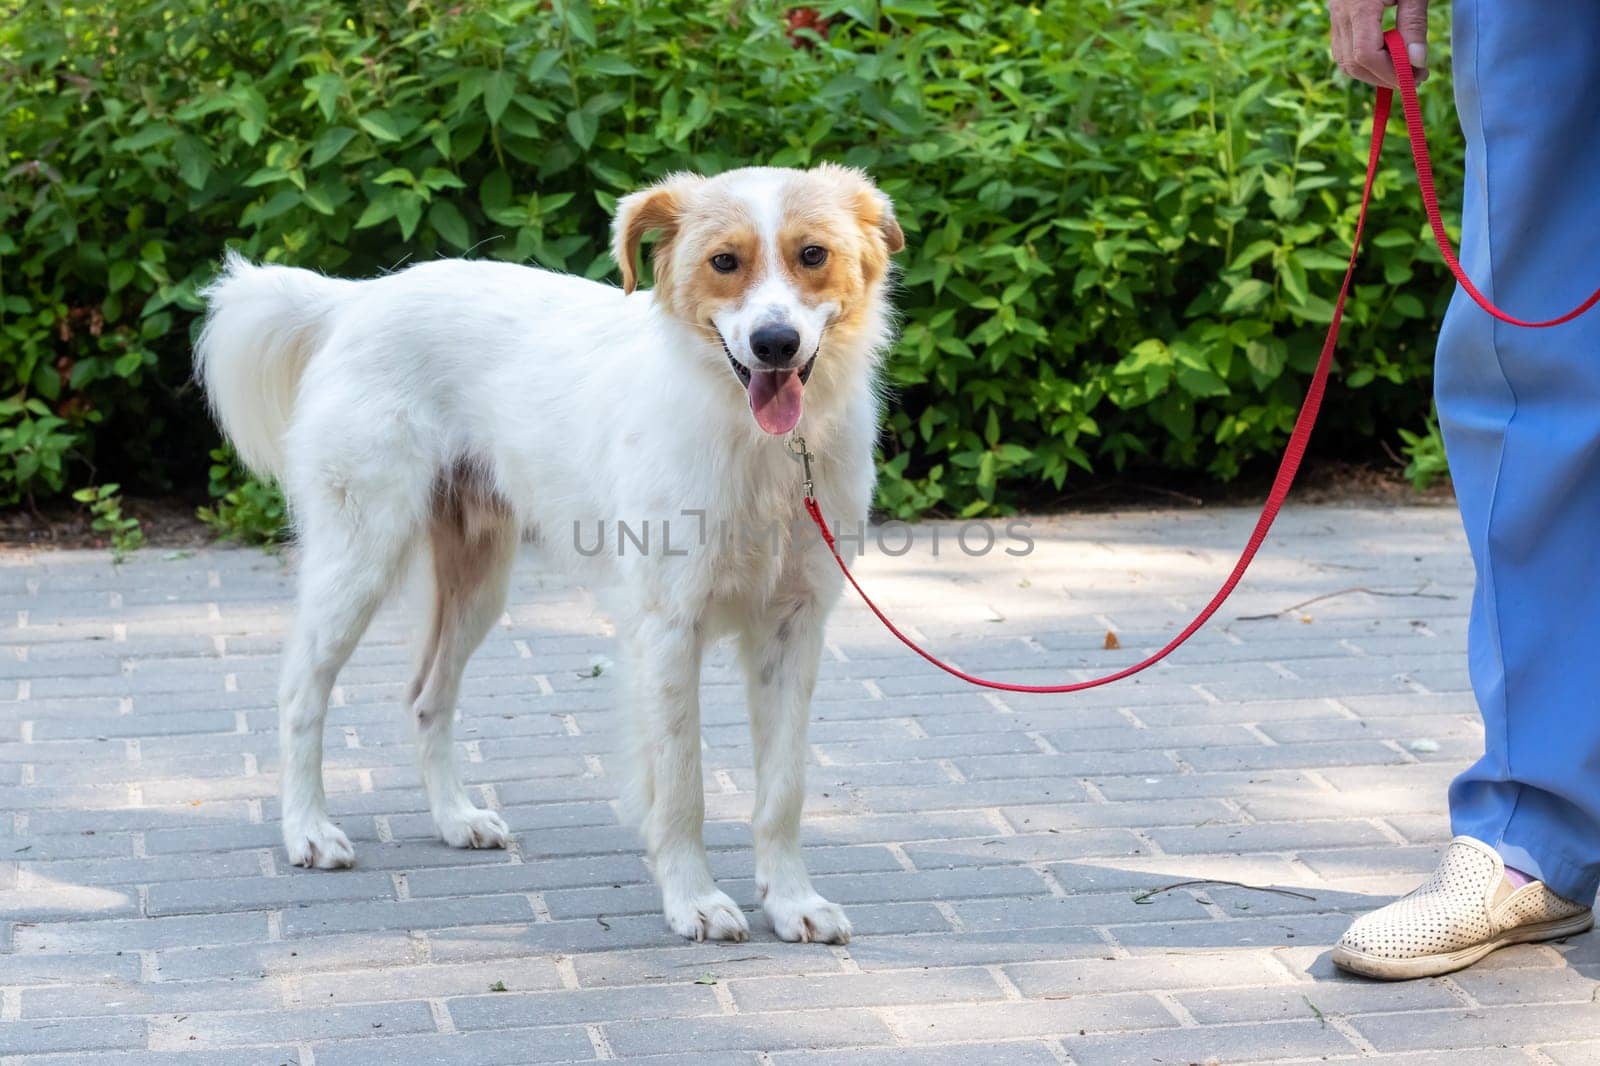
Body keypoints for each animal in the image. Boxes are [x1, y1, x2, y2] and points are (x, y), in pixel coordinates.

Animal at [193, 164, 902, 941]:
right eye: (724, 262)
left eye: (813, 255)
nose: (776, 342)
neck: (763, 450)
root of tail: (360, 298)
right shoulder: (668, 628)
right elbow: (681, 785)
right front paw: (693, 898)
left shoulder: (794, 628)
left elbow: (783, 789)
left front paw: (791, 901)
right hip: (360, 559)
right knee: (301, 693)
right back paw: (308, 831)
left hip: (478, 584)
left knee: (426, 698)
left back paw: (455, 819)